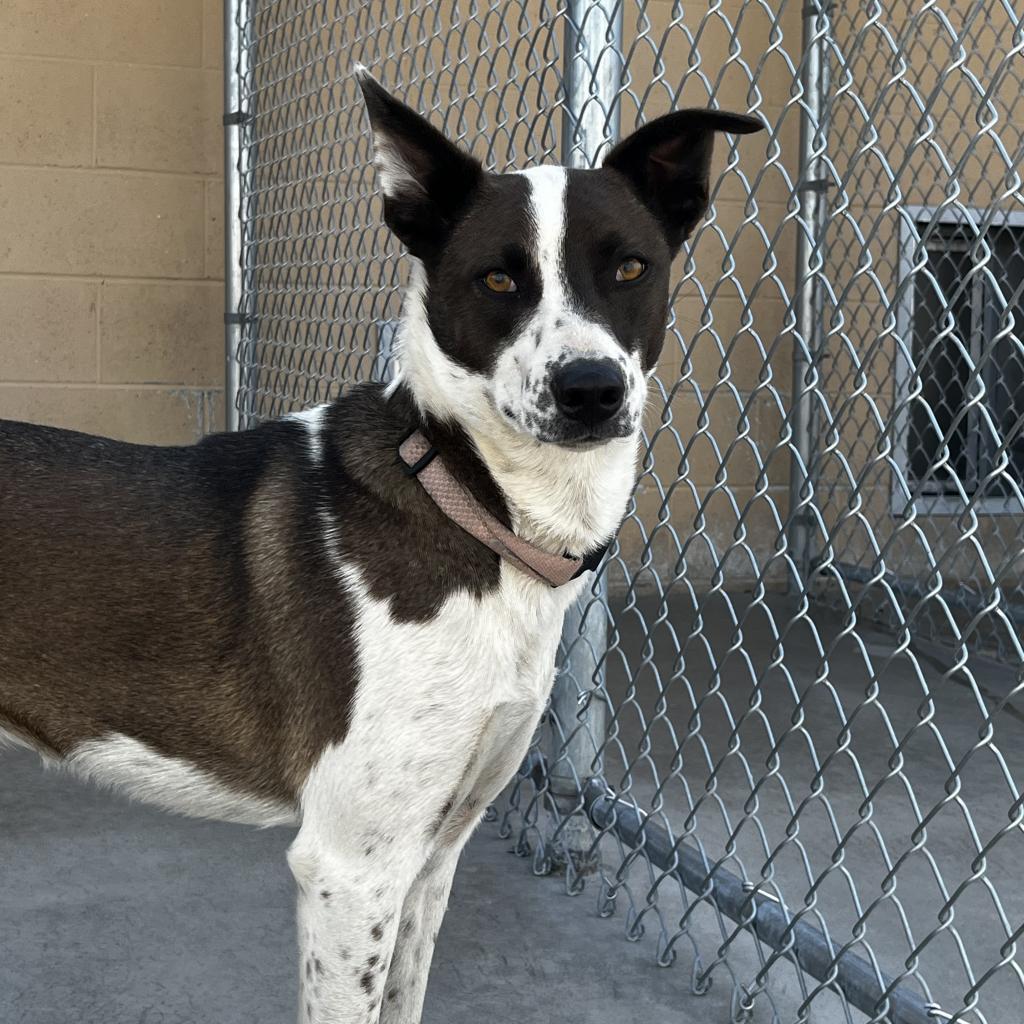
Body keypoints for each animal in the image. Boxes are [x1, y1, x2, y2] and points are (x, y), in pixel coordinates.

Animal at [0, 72, 761, 1024]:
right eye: (498, 277)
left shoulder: (434, 853)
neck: (474, 505)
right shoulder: (352, 868)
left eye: (631, 268)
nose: (589, 390)